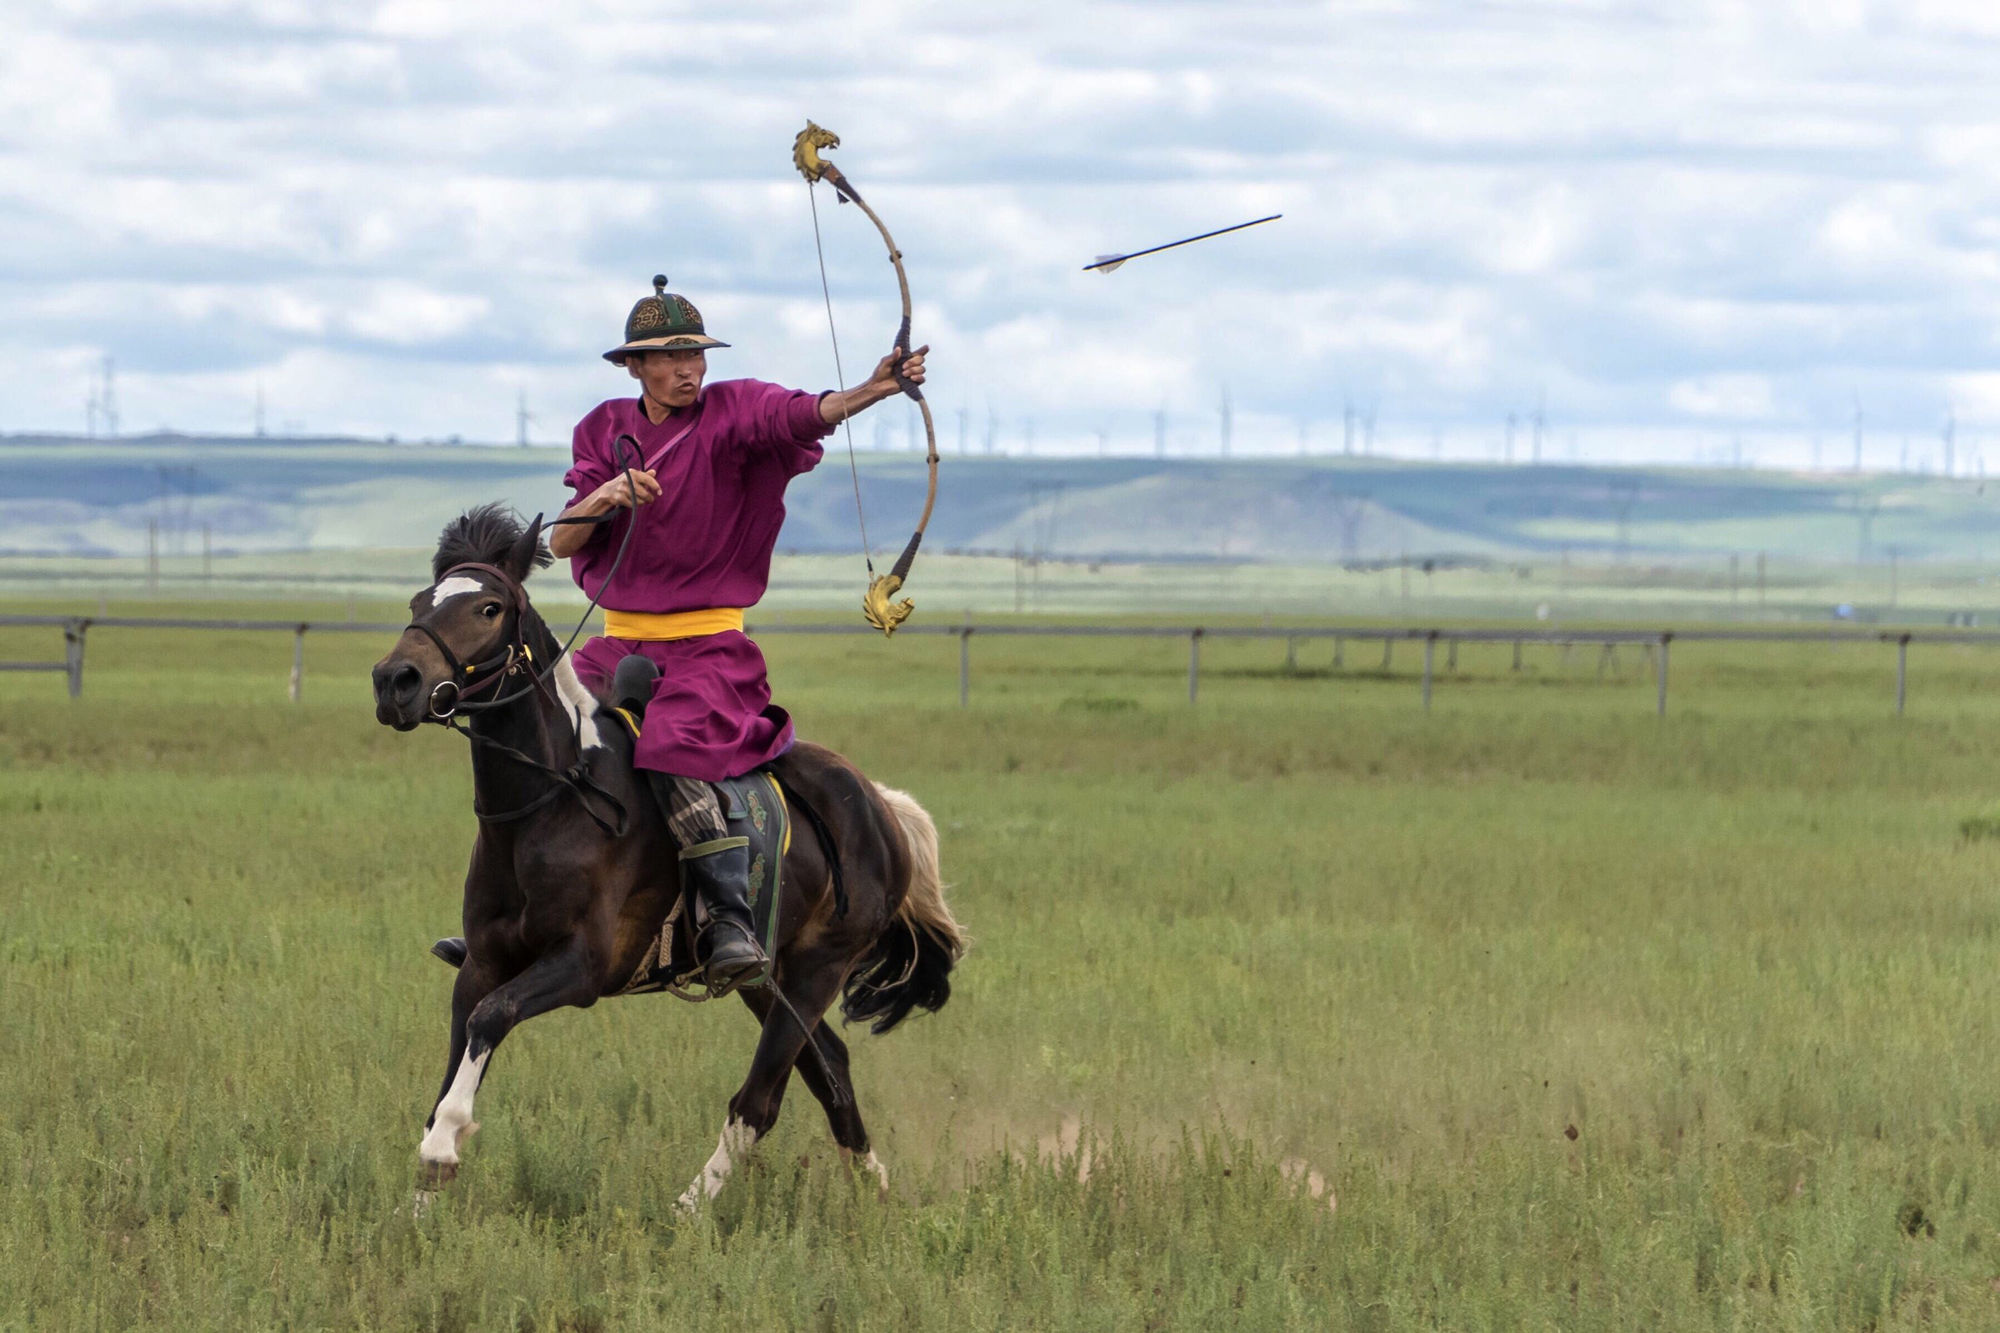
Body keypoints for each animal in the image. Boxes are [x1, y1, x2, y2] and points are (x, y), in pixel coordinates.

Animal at [376, 500, 968, 1200]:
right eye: (420, 601)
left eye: (488, 608)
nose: (395, 681)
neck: (548, 805)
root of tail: (882, 810)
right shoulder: (483, 961)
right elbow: (455, 1060)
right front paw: (420, 1199)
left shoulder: (582, 966)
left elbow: (492, 1019)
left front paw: (444, 1148)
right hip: (769, 979)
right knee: (830, 1069)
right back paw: (876, 1192)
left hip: (818, 969)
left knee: (759, 1101)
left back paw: (687, 1210)